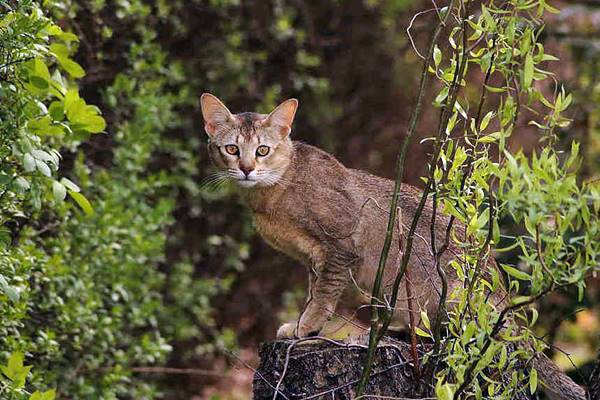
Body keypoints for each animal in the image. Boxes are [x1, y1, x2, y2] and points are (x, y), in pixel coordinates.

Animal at [200, 94, 584, 400]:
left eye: (262, 150)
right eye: (232, 149)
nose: (246, 168)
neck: (273, 192)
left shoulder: (340, 247)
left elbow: (322, 295)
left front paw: (304, 328)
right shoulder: (314, 258)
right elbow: (313, 291)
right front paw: (305, 326)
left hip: (451, 297)